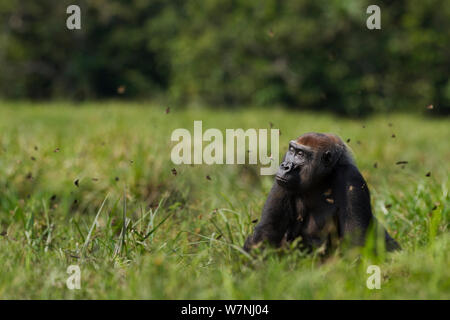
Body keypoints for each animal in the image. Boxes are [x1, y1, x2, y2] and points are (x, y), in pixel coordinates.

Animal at [244, 132, 400, 252]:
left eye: (300, 154)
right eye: (292, 151)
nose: (285, 166)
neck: (323, 178)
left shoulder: (352, 178)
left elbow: (356, 241)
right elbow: (267, 230)